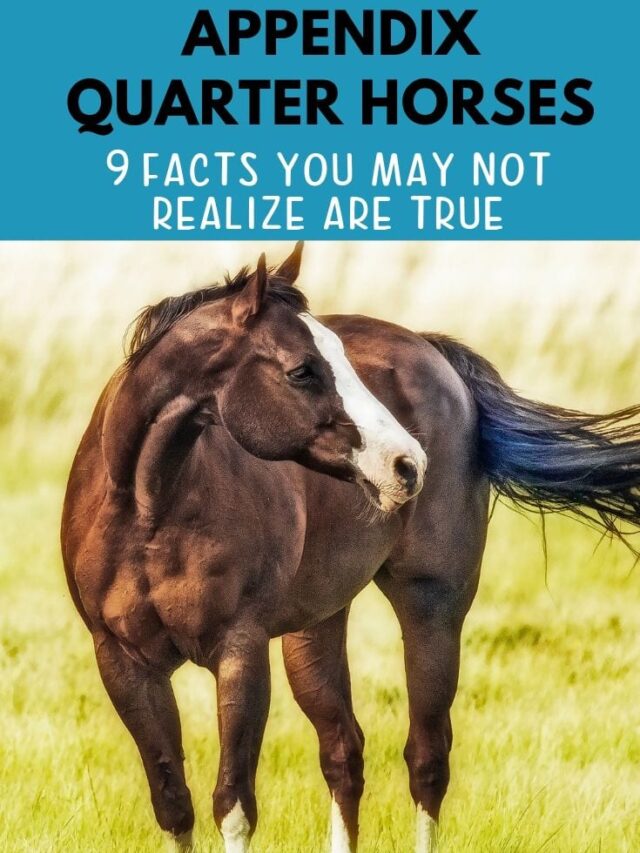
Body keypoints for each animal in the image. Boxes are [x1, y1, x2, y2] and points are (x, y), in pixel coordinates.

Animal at [61, 243, 640, 853]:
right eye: (302, 370)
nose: (407, 464)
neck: (149, 512)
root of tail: (433, 353)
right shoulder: (123, 663)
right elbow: (174, 802)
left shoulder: (239, 652)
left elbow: (233, 803)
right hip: (316, 627)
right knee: (343, 753)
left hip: (432, 608)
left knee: (427, 757)